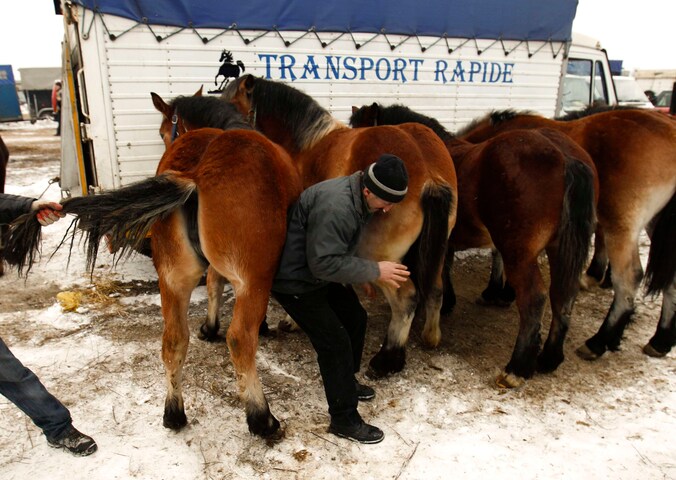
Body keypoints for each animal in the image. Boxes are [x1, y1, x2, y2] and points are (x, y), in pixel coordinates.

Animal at [5, 119, 303, 438]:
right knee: (239, 340)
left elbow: (213, 285)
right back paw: (262, 419)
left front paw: (209, 328)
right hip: (251, 282)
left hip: (173, 280)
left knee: (173, 340)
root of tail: (195, 174)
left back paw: (173, 413)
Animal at [223, 74, 458, 378]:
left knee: (406, 298)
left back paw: (387, 359)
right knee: (436, 288)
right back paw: (429, 336)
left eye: (232, 105)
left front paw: (291, 320)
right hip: (435, 252)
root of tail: (429, 173)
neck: (307, 147)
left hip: (383, 260)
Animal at [350, 103, 599, 386]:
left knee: (535, 298)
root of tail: (566, 157)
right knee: (563, 295)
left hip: (519, 252)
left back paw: (516, 369)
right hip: (559, 249)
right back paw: (549, 358)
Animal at [459, 107, 676, 360]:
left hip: (621, 225)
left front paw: (498, 291)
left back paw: (598, 341)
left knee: (629, 278)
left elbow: (498, 253)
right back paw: (660, 339)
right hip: (655, 226)